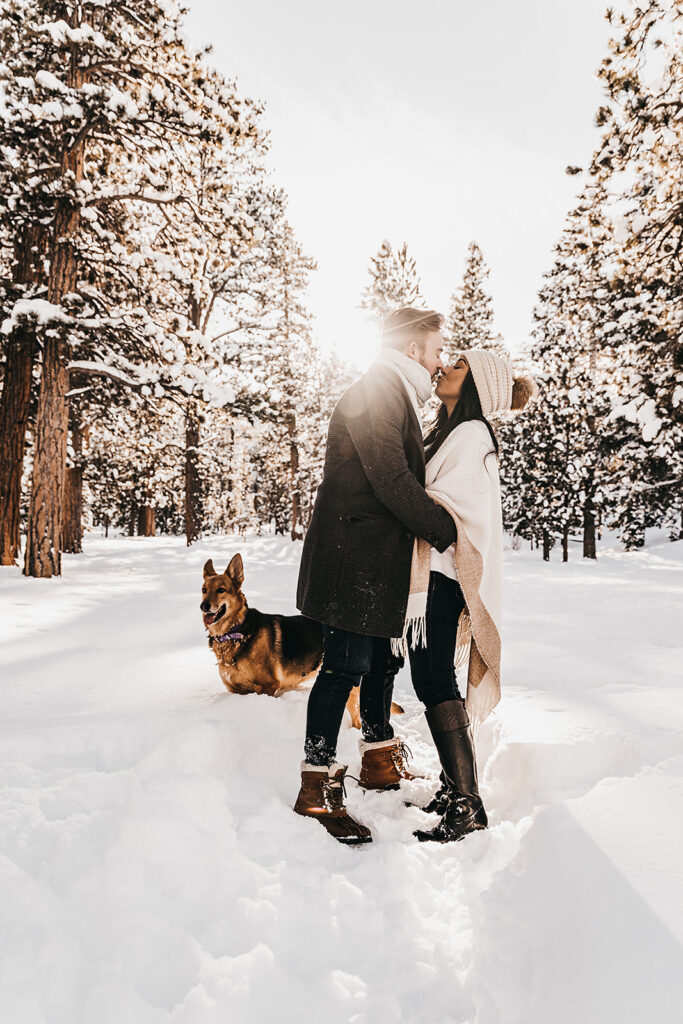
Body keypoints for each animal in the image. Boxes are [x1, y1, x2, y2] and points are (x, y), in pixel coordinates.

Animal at [197, 552, 401, 729]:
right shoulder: (235, 690)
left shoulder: (269, 686)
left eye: (221, 590)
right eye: (204, 590)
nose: (203, 606)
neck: (235, 632)